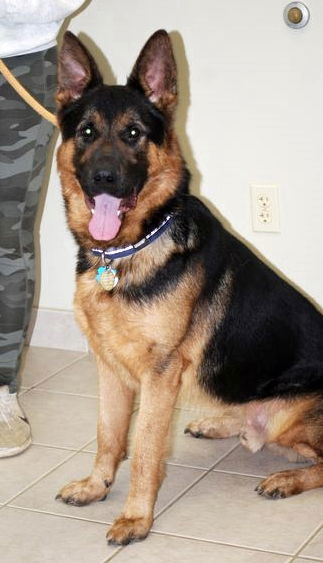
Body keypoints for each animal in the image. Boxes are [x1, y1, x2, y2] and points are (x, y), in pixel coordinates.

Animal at [56, 28, 323, 544]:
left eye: (133, 134)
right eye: (87, 133)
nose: (102, 179)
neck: (128, 250)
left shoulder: (159, 374)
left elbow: (143, 450)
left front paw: (136, 518)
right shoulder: (109, 368)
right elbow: (108, 434)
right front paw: (97, 486)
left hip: (293, 414)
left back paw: (285, 478)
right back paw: (220, 424)